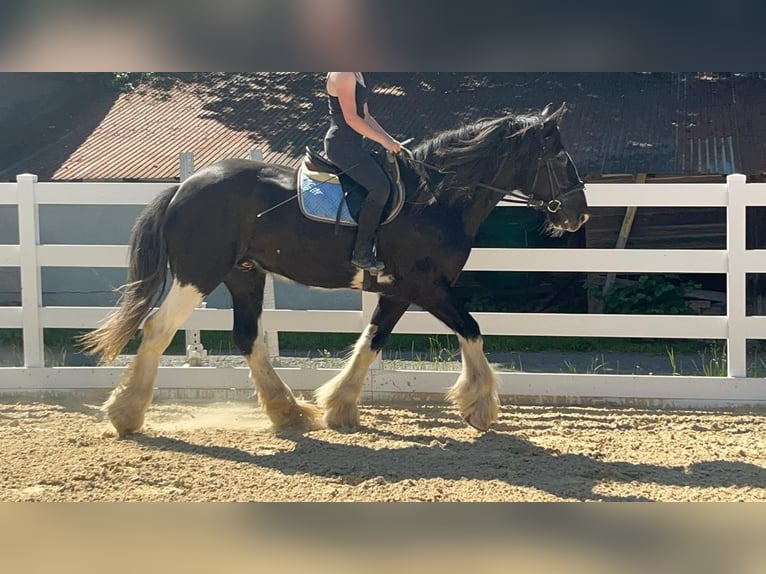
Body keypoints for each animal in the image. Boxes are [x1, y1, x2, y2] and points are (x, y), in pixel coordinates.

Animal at [81, 103, 589, 437]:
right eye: (559, 158)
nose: (578, 215)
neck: (433, 199)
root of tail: (184, 186)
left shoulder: (399, 290)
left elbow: (372, 341)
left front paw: (340, 406)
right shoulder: (427, 285)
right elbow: (472, 330)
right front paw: (480, 407)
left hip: (245, 275)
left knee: (247, 339)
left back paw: (288, 412)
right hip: (198, 275)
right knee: (158, 329)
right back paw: (126, 414)